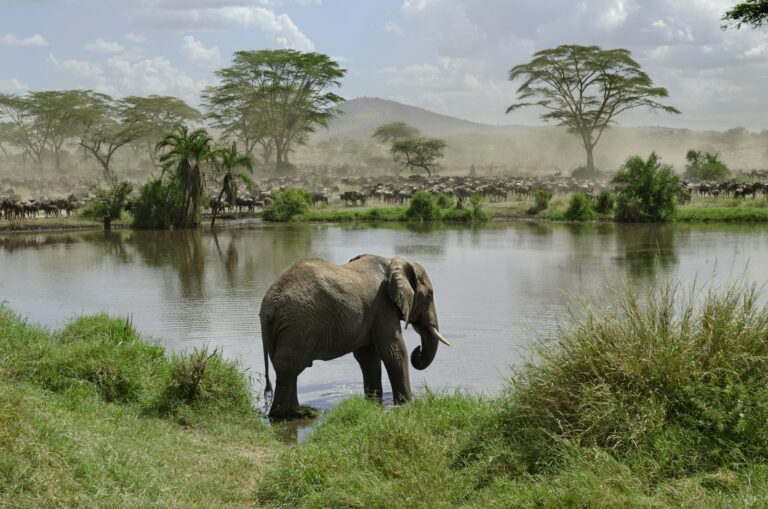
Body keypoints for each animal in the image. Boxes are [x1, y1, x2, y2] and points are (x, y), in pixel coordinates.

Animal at [260, 253, 450, 416]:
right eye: (430, 295)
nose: (418, 351)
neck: (392, 262)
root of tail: (269, 306)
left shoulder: (372, 312)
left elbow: (368, 357)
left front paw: (374, 402)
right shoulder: (383, 306)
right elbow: (394, 352)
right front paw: (406, 404)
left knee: (286, 368)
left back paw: (298, 413)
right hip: (298, 324)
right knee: (289, 366)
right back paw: (285, 415)